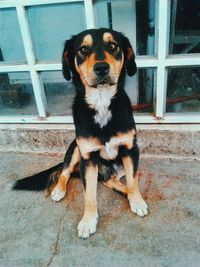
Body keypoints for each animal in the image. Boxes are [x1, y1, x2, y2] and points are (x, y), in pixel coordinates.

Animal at [13, 28, 148, 240]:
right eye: (83, 49)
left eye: (113, 46)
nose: (101, 68)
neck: (101, 103)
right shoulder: (88, 158)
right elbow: (89, 195)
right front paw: (88, 221)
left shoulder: (130, 150)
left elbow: (133, 180)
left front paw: (137, 200)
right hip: (75, 149)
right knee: (64, 172)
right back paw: (59, 190)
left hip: (115, 166)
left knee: (111, 180)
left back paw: (127, 193)